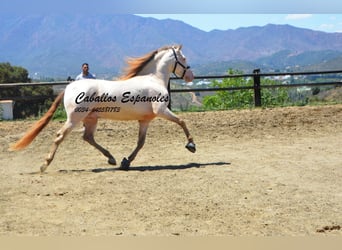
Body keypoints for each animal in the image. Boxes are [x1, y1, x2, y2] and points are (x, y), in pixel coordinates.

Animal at [10, 45, 195, 173]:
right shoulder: (161, 110)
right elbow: (182, 121)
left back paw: (111, 159)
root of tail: (69, 87)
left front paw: (126, 162)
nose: (190, 76)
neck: (153, 79)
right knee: (60, 136)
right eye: (184, 58)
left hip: (91, 118)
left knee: (88, 137)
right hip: (75, 118)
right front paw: (191, 145)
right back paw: (44, 165)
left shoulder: (145, 120)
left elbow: (140, 142)